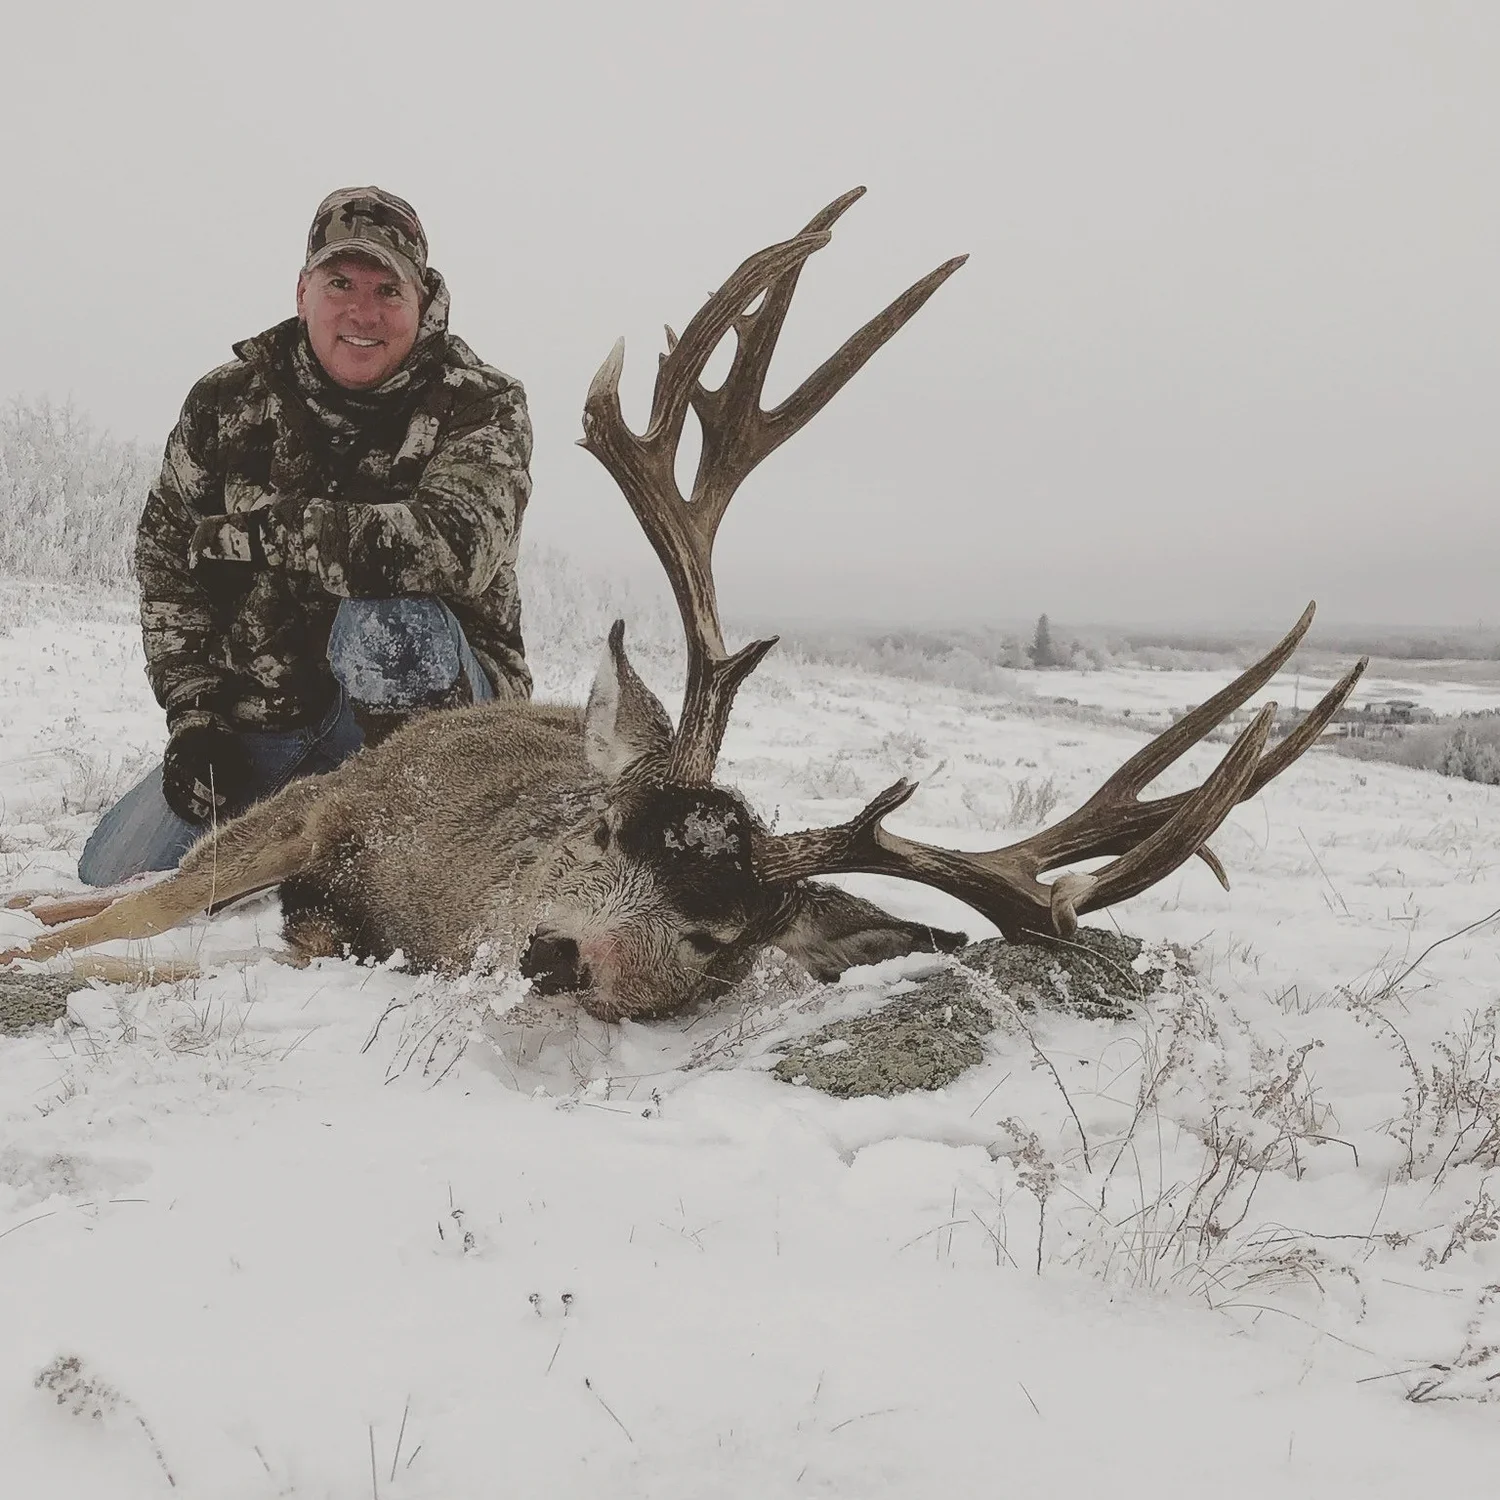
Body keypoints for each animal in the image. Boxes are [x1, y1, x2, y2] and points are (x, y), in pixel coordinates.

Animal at [0, 188, 1365, 1022]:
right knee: (130, 881)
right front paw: (25, 949)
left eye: (723, 940)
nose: (560, 954)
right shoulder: (332, 798)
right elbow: (154, 905)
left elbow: (210, 941)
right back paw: (38, 898)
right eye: (611, 836)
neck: (434, 880)